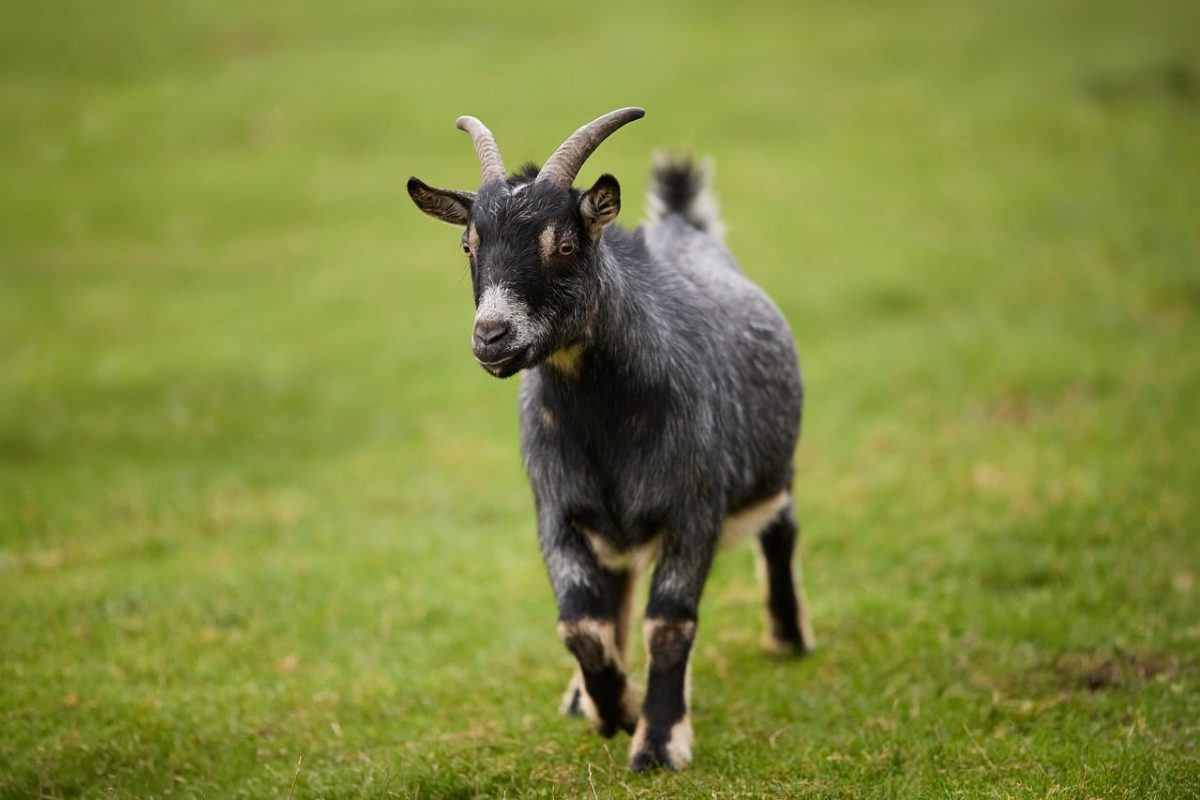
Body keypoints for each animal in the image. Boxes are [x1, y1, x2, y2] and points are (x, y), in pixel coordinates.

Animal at [407, 107, 813, 771]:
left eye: (566, 245)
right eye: (469, 245)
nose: (491, 336)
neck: (604, 424)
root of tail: (684, 226)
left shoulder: (692, 509)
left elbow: (670, 625)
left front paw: (659, 740)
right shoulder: (557, 510)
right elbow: (581, 626)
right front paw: (614, 706)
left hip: (770, 467)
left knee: (781, 528)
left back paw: (788, 637)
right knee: (616, 585)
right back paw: (585, 697)